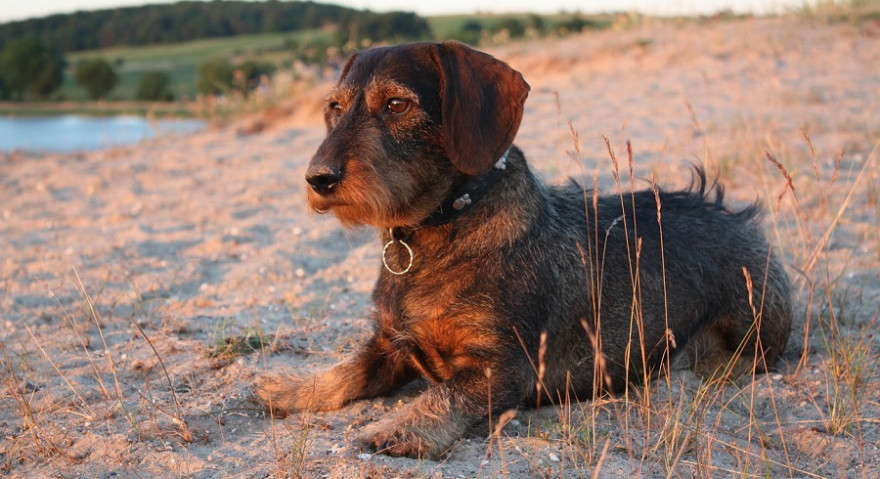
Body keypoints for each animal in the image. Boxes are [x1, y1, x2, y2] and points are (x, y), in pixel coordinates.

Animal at [251, 42, 796, 462]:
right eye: (335, 107)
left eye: (397, 105)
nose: (318, 179)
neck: (442, 228)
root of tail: (744, 223)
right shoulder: (390, 344)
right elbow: (348, 371)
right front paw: (290, 388)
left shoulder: (503, 367)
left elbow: (442, 395)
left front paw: (397, 428)